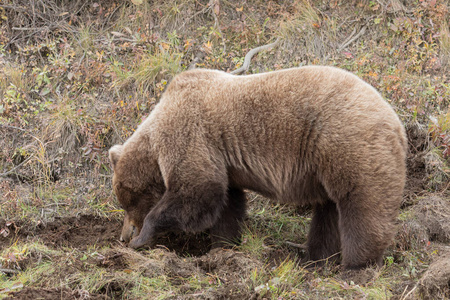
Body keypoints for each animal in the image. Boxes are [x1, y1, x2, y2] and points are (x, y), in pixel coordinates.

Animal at [110, 65, 408, 270]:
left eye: (127, 202)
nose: (123, 237)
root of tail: (397, 124)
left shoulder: (190, 135)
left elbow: (197, 190)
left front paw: (143, 237)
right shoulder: (224, 163)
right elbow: (226, 203)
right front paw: (222, 248)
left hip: (346, 142)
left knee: (361, 203)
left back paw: (356, 265)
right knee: (329, 211)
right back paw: (314, 259)